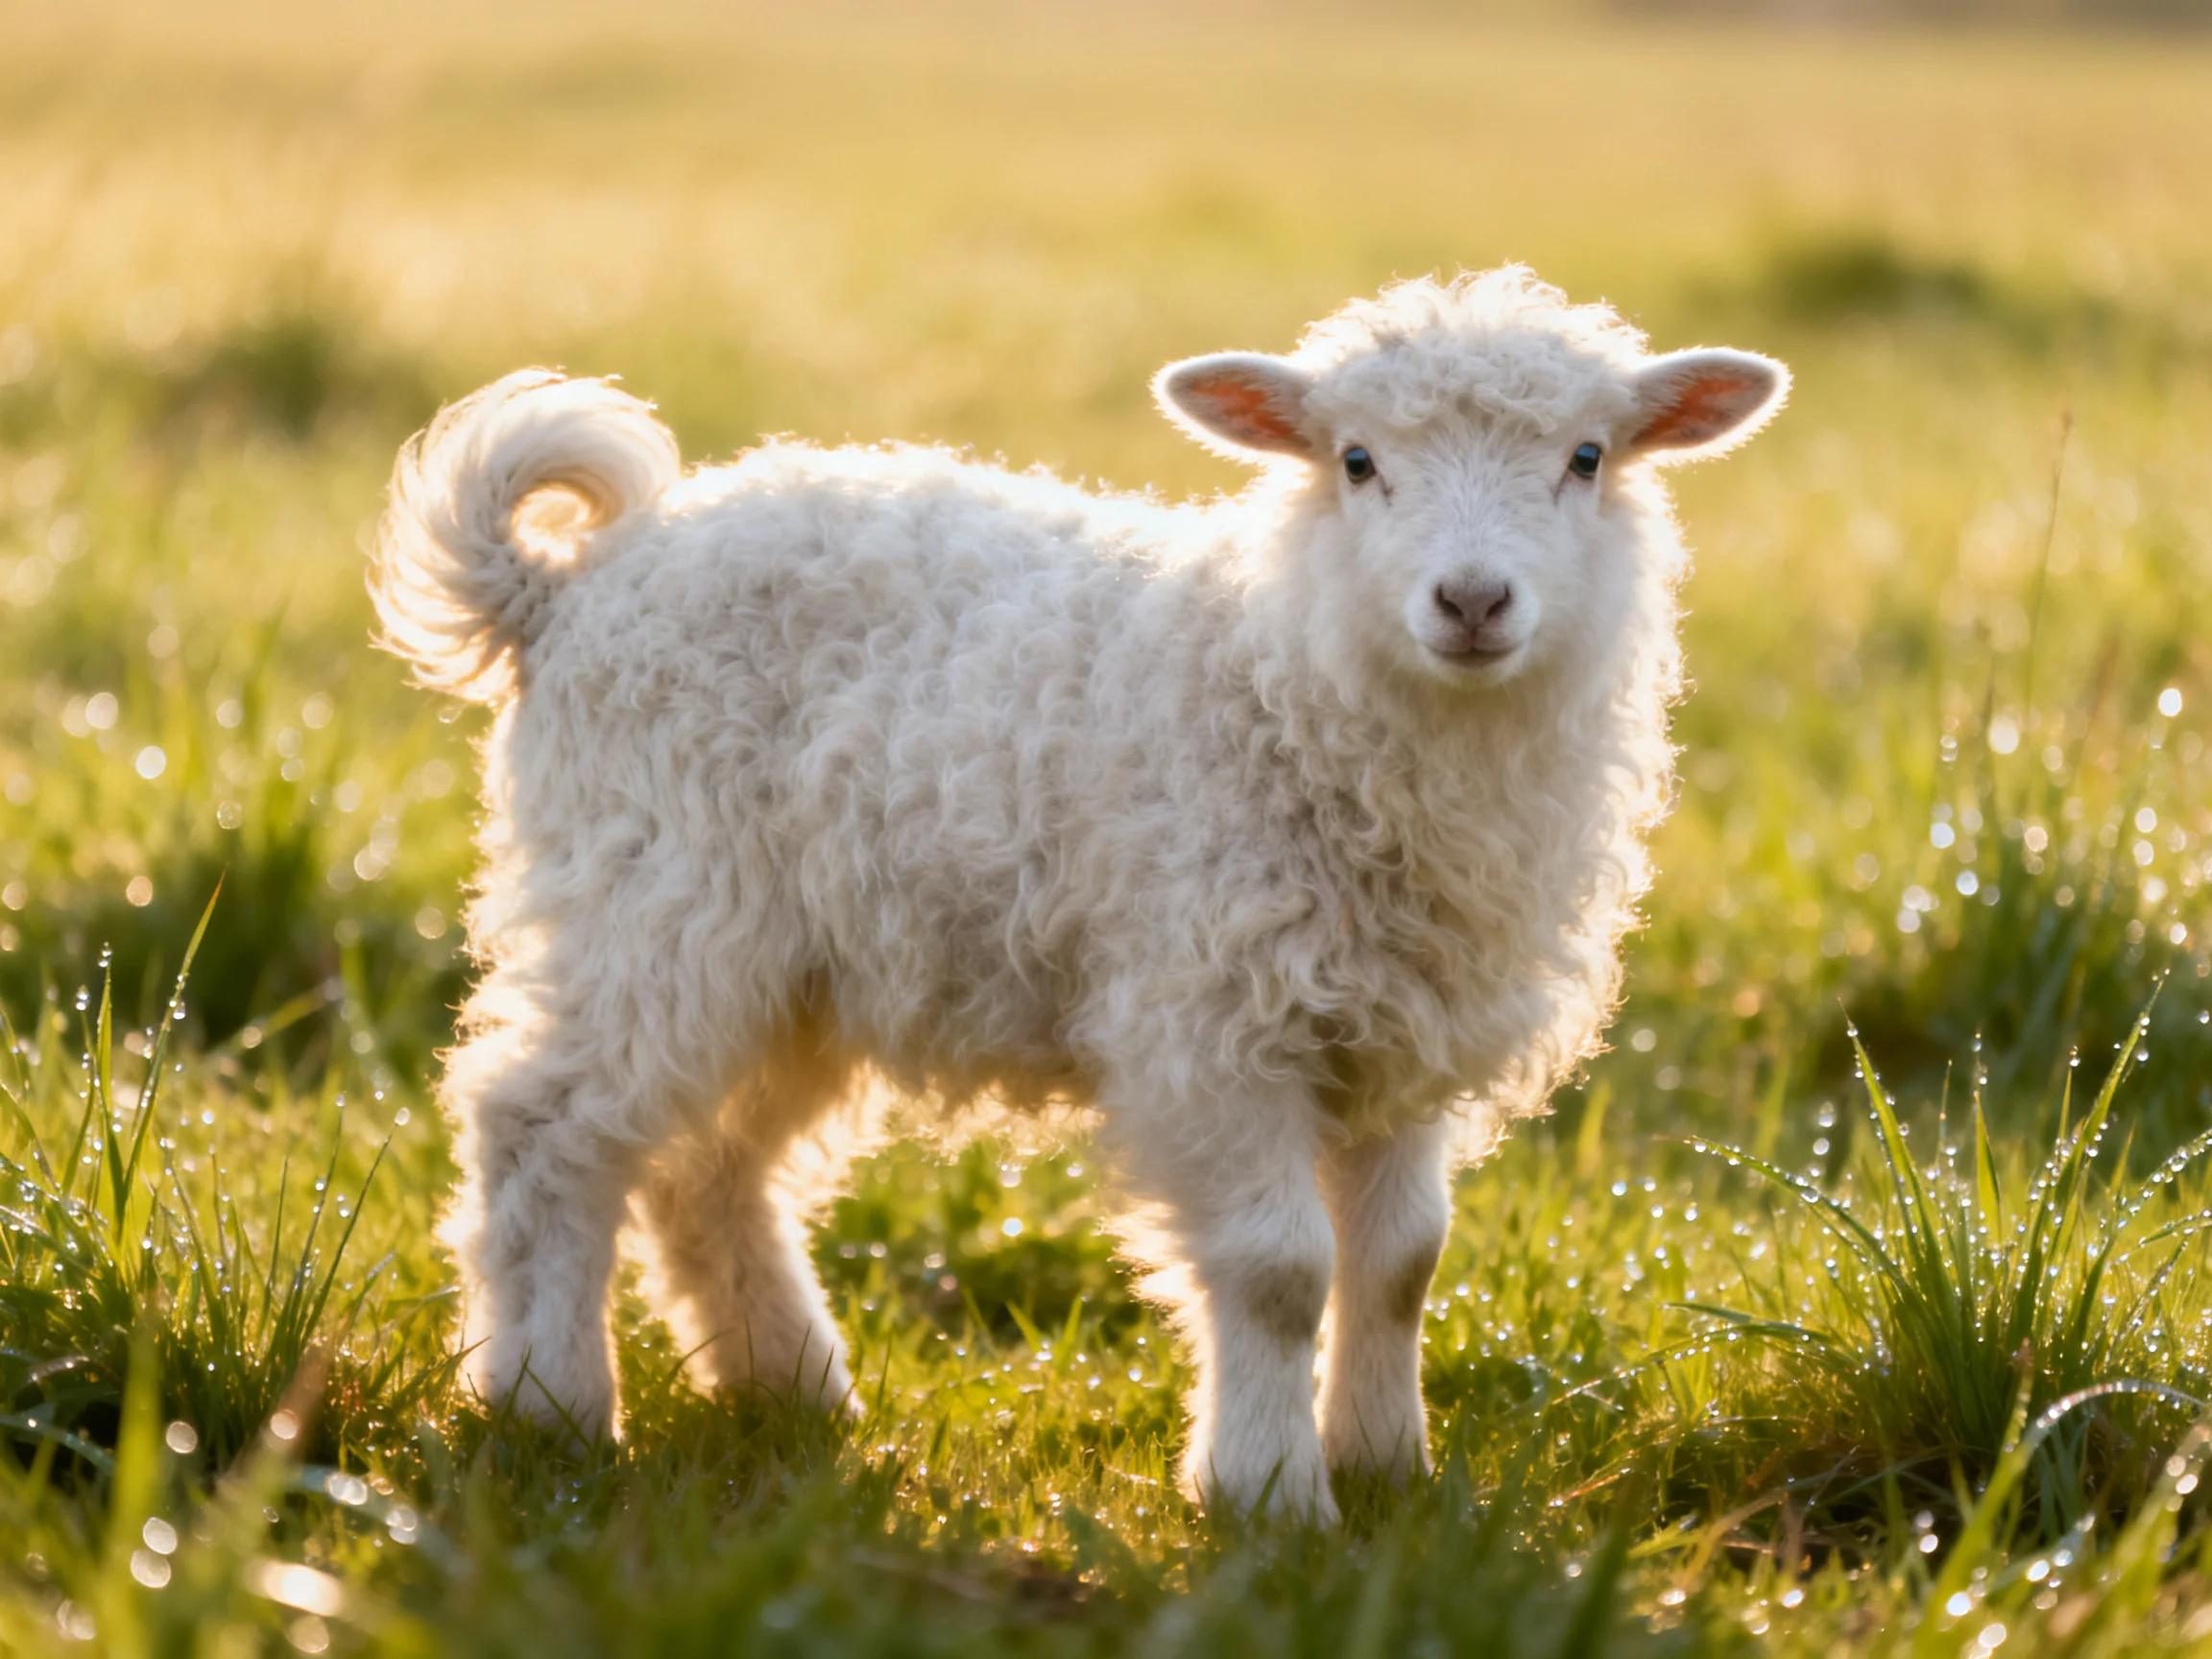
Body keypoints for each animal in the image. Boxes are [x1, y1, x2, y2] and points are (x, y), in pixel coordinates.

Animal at [372, 266, 1786, 1521]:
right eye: (1356, 462)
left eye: (1590, 457)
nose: (1475, 600)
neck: (1289, 678)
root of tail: (569, 589)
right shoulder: (1208, 1016)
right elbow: (1280, 1272)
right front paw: (1268, 1496)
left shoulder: (1397, 1025)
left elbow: (1398, 1266)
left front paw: (1389, 1470)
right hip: (653, 900)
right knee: (542, 1130)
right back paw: (549, 1410)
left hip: (804, 964)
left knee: (704, 1168)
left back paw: (793, 1390)